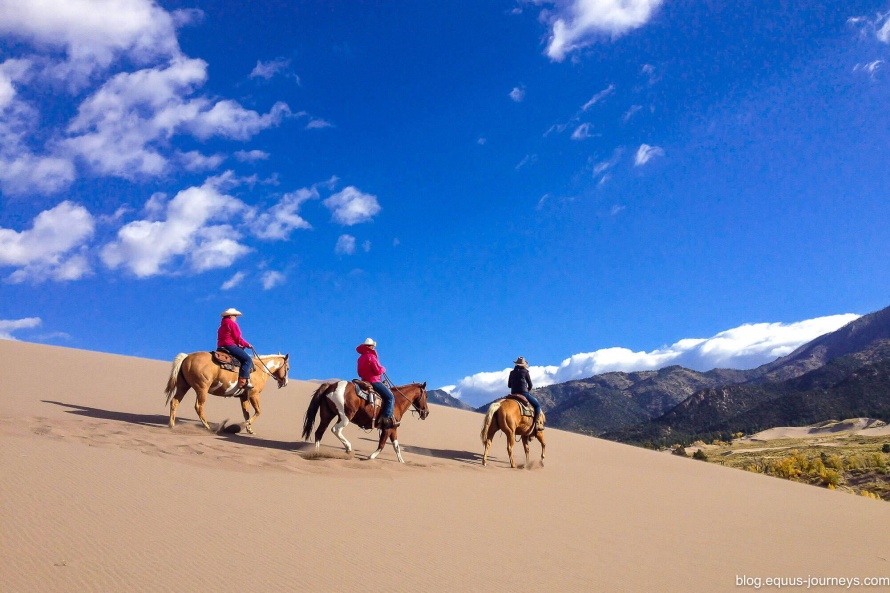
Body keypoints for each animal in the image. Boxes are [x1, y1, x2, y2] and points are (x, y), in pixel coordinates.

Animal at [300, 380, 428, 462]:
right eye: (426, 396)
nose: (426, 413)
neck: (397, 401)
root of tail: (331, 385)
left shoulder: (393, 428)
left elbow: (396, 446)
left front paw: (402, 462)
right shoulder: (387, 428)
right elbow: (382, 444)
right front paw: (370, 457)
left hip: (327, 415)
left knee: (319, 432)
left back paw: (316, 453)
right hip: (345, 416)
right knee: (335, 429)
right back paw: (348, 448)